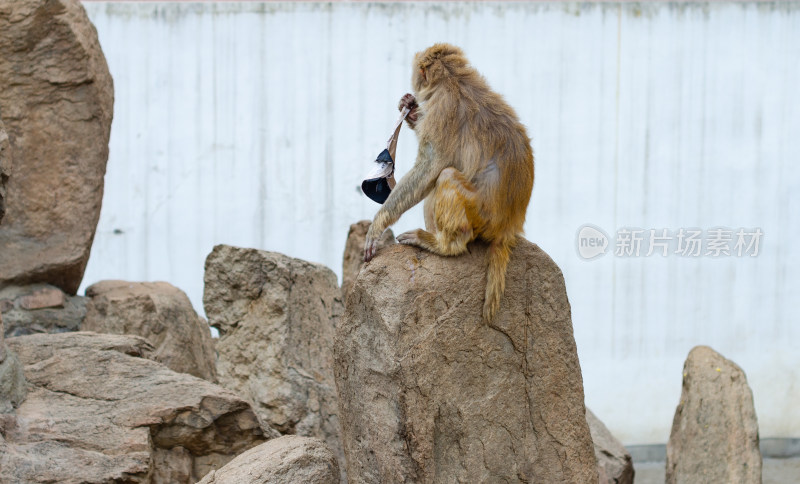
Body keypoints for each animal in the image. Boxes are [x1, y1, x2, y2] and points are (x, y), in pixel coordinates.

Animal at [366, 42, 536, 322]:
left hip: (481, 215)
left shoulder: (441, 111)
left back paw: (445, 245)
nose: (413, 88)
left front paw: (378, 223)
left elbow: (429, 168)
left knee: (444, 176)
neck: (453, 79)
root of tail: (508, 227)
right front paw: (409, 108)